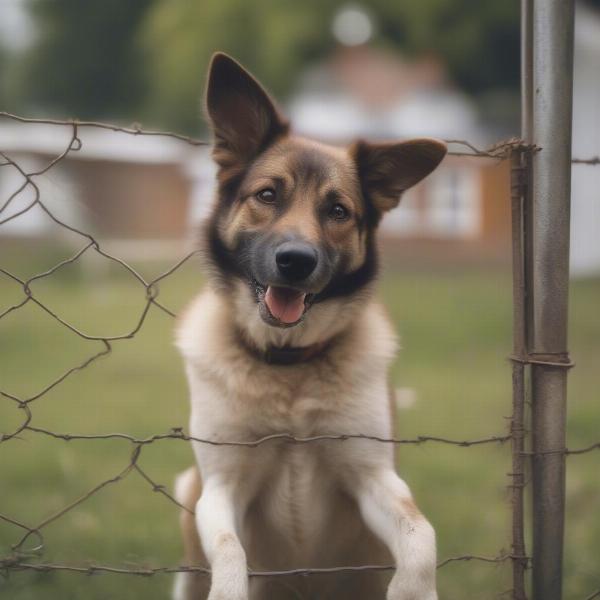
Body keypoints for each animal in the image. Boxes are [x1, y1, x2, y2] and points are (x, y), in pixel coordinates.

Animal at [172, 52, 446, 600]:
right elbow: (231, 553)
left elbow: (419, 535)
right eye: (267, 195)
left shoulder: (374, 476)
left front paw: (413, 590)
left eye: (338, 210)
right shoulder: (220, 487)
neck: (288, 364)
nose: (295, 261)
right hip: (188, 506)